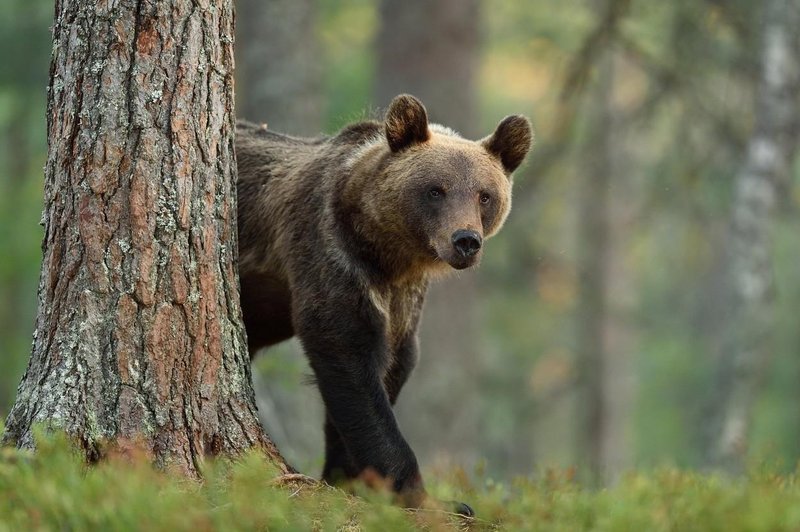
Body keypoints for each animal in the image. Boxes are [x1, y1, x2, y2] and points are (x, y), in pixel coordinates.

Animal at [236, 93, 532, 512]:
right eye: (436, 190)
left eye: (484, 195)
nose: (465, 240)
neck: (388, 253)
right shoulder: (332, 255)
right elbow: (348, 354)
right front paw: (425, 496)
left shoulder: (403, 298)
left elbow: (394, 362)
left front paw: (347, 477)